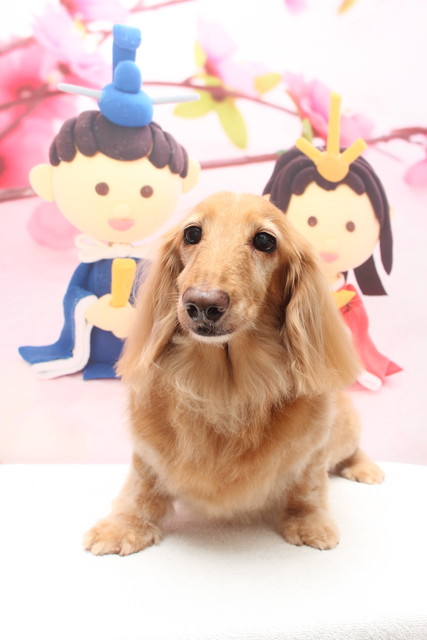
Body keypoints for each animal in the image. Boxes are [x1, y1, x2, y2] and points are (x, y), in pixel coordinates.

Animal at [84, 192, 384, 556]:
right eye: (192, 234)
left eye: (265, 241)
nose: (202, 304)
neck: (227, 387)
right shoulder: (148, 452)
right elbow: (142, 486)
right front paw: (125, 525)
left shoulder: (312, 450)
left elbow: (308, 485)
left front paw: (308, 521)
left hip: (342, 429)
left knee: (350, 450)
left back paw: (364, 467)